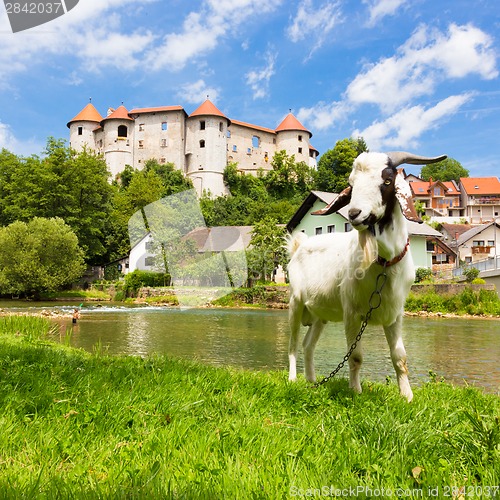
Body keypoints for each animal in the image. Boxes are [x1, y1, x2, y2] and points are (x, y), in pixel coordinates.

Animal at [288, 150, 448, 400]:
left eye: (387, 181)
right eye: (352, 184)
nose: (354, 213)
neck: (383, 264)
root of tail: (299, 245)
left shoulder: (395, 314)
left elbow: (400, 357)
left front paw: (407, 396)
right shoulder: (352, 312)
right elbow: (355, 356)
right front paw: (355, 390)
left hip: (319, 315)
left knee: (307, 344)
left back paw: (312, 380)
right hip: (295, 303)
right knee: (293, 343)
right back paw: (293, 379)